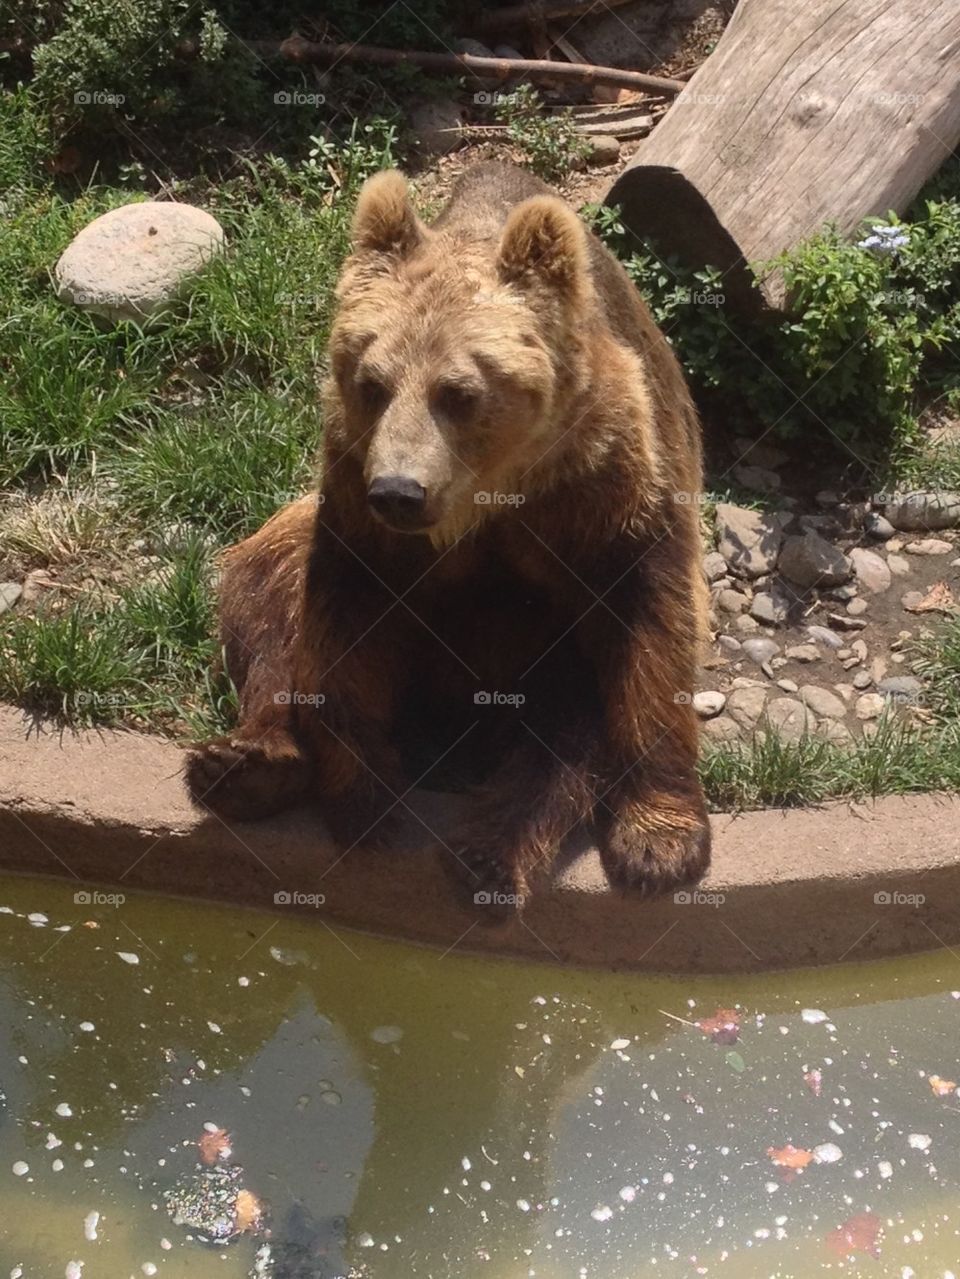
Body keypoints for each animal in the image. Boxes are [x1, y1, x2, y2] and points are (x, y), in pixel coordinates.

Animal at [186, 161, 711, 909]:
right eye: (372, 382)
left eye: (458, 392)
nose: (400, 491)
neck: (490, 495)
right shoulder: (355, 497)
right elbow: (343, 627)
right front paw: (364, 797)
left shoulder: (605, 489)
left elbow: (648, 634)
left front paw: (659, 840)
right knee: (266, 595)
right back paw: (246, 765)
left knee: (561, 737)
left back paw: (488, 856)